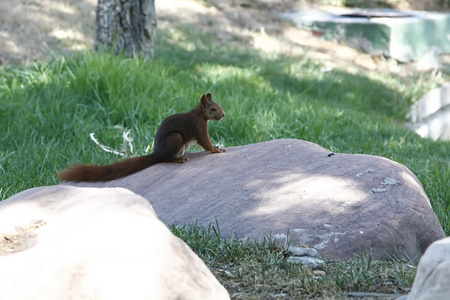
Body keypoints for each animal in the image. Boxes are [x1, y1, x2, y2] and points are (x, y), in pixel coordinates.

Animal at [57, 92, 225, 182]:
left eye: (219, 105)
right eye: (212, 109)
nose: (223, 115)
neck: (200, 114)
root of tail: (156, 154)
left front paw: (218, 147)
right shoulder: (198, 127)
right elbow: (205, 141)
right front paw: (215, 150)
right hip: (175, 139)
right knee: (165, 159)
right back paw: (177, 159)